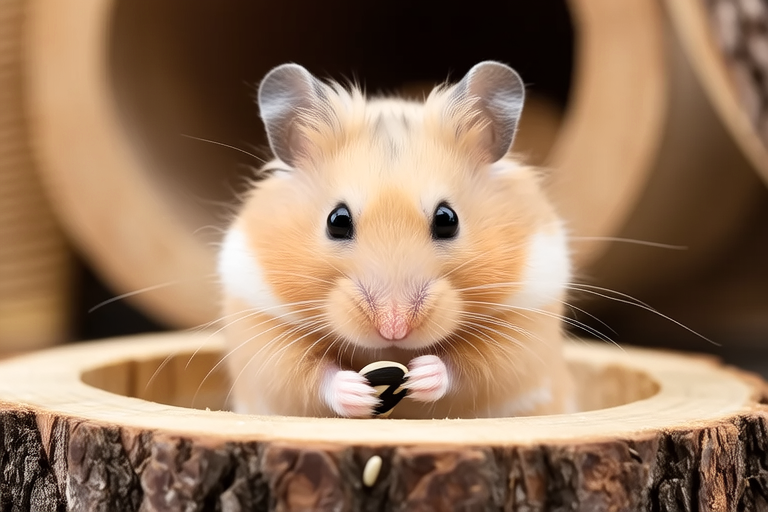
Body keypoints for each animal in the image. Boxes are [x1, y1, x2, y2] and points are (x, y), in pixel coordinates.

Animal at [217, 61, 575, 419]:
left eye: (447, 220)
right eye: (337, 221)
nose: (394, 329)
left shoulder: (525, 325)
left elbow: (477, 368)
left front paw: (423, 374)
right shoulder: (260, 326)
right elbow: (303, 375)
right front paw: (358, 392)